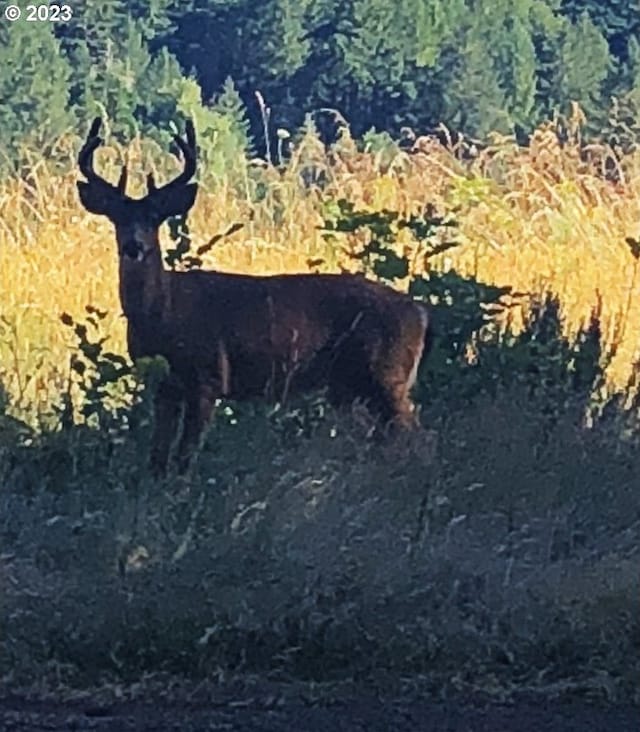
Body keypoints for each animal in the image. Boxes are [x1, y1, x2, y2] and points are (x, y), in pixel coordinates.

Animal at [77, 118, 432, 478]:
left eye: (154, 218)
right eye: (117, 218)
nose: (133, 246)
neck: (163, 314)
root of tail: (419, 313)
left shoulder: (208, 375)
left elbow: (185, 456)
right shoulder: (164, 387)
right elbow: (157, 458)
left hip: (387, 373)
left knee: (412, 431)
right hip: (353, 385)